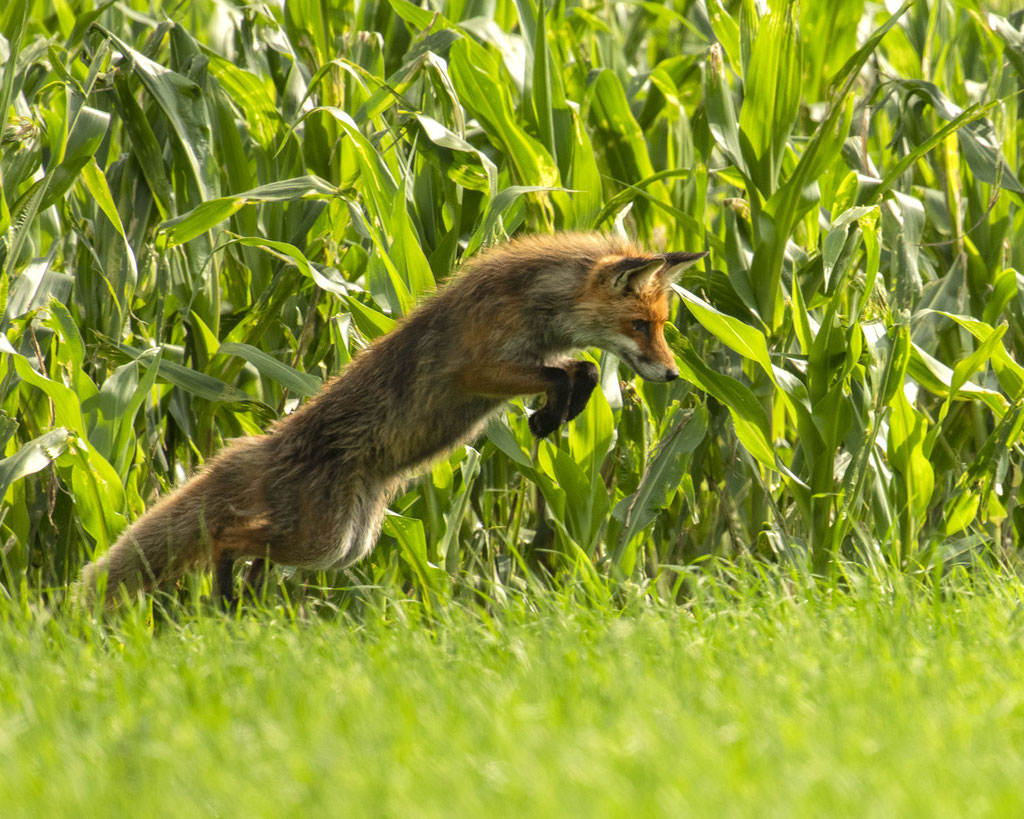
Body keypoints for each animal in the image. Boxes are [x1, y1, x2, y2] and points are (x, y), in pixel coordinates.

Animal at [75, 232, 707, 607]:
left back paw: (244, 605)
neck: (535, 306)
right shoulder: (475, 370)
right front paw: (549, 416)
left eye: (663, 325)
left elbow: (578, 369)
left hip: (344, 545)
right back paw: (229, 596)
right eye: (640, 326)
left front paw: (558, 414)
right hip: (322, 540)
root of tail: (267, 443)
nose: (674, 375)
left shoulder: (532, 359)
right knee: (226, 537)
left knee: (246, 548)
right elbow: (567, 372)